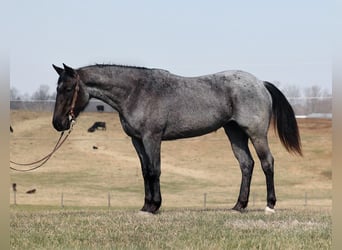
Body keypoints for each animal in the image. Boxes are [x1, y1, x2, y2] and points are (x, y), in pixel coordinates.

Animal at [52, 63, 300, 214]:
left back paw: (270, 205)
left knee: (267, 163)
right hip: (234, 133)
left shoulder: (152, 138)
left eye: (68, 88)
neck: (136, 91)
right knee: (246, 164)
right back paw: (239, 205)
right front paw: (146, 206)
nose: (58, 123)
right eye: (58, 88)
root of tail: (260, 83)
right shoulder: (137, 141)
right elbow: (145, 171)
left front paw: (155, 206)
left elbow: (155, 170)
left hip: (256, 134)